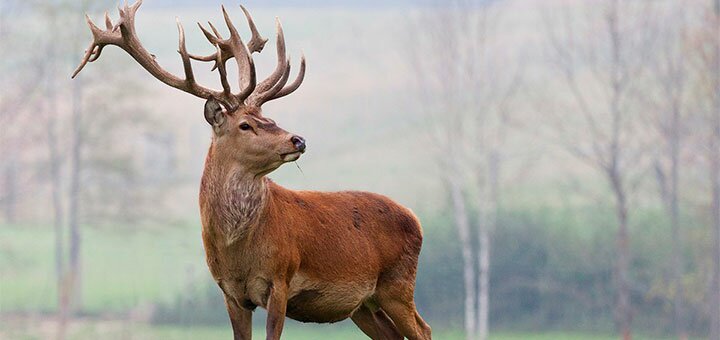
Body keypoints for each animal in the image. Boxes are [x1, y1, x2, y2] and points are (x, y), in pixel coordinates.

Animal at [71, 1, 434, 338]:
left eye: (268, 118)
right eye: (246, 125)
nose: (298, 139)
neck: (238, 249)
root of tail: (416, 220)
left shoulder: (281, 279)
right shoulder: (230, 292)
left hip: (398, 284)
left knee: (424, 329)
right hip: (362, 304)